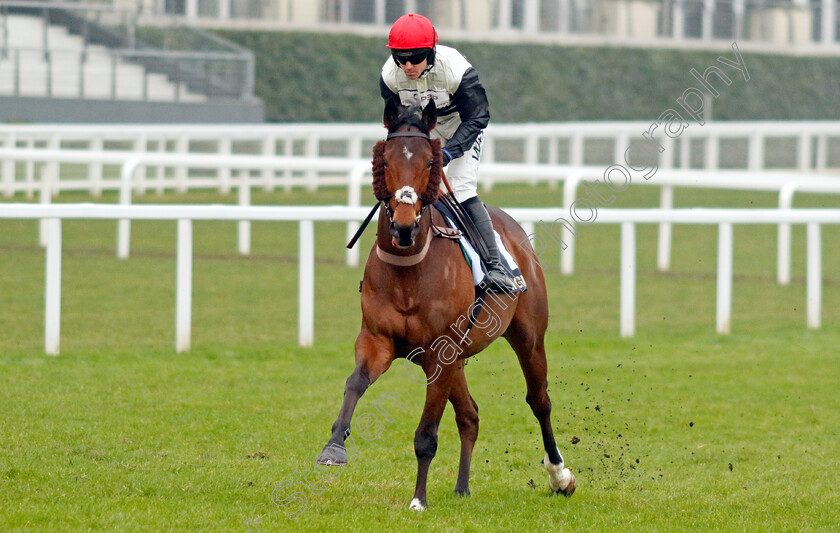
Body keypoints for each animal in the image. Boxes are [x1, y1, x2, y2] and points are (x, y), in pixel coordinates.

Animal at [316, 101, 576, 512]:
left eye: (428, 162)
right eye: (386, 160)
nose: (404, 226)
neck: (409, 270)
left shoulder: (441, 354)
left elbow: (427, 433)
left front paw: (418, 499)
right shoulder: (379, 340)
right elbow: (355, 382)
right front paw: (334, 447)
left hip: (528, 338)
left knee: (539, 401)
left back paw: (559, 476)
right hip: (455, 359)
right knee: (470, 415)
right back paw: (462, 487)